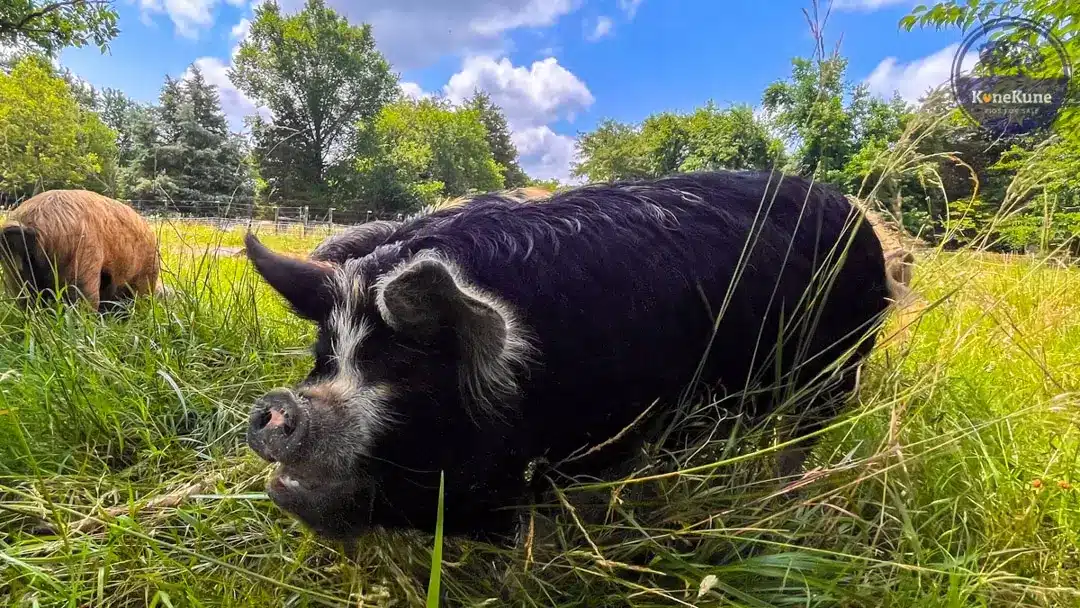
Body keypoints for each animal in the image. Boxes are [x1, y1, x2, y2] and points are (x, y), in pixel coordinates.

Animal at [242, 170, 894, 544]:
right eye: (324, 356)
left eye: (407, 370)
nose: (281, 405)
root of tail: (860, 218)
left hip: (838, 370)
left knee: (802, 434)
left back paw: (789, 500)